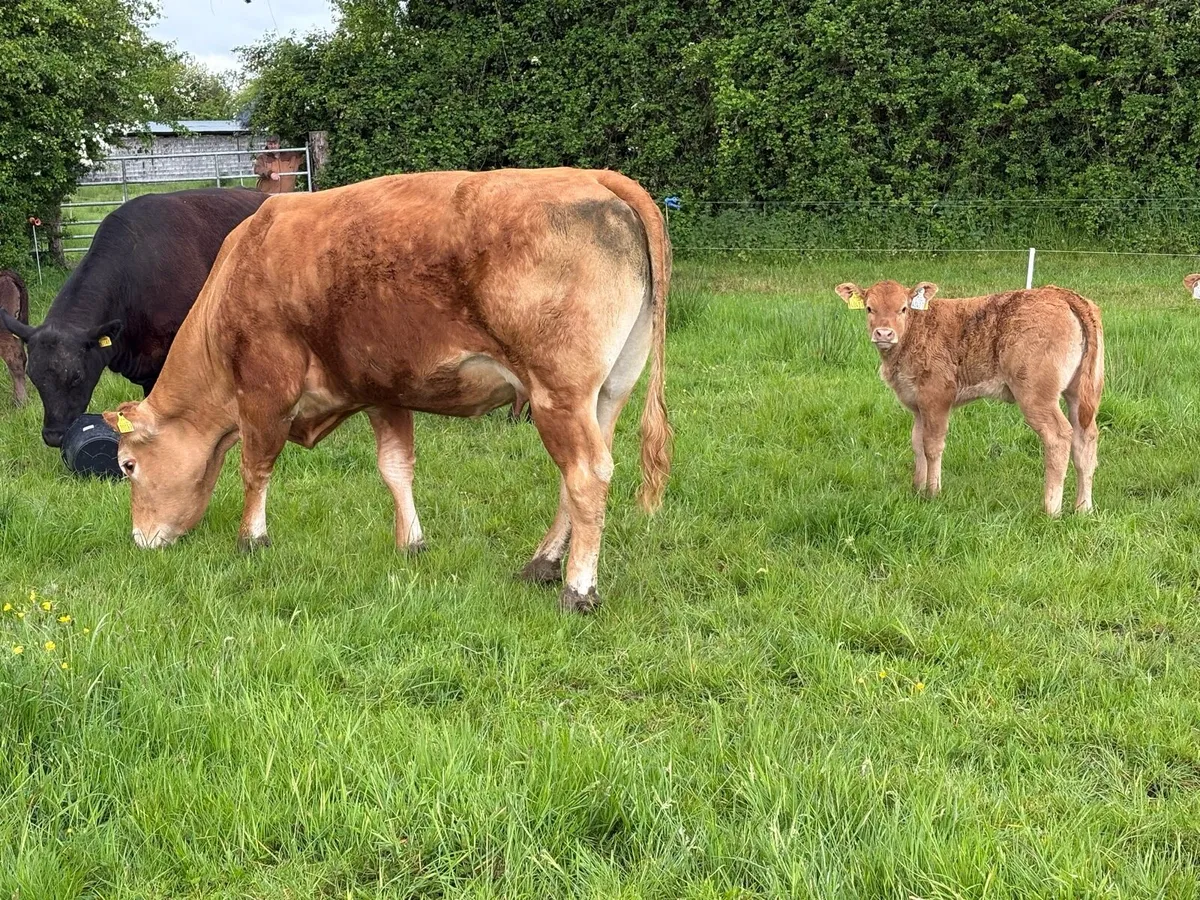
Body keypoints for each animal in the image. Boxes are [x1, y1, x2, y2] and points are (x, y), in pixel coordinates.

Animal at [103, 168, 671, 613]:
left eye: (127, 466)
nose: (139, 539)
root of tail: (592, 176)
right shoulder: (383, 391)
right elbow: (395, 468)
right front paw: (411, 543)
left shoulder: (266, 389)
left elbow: (255, 466)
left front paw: (251, 539)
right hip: (607, 393)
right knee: (579, 476)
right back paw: (542, 563)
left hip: (559, 392)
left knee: (586, 475)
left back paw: (577, 588)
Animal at [834, 280, 1104, 516]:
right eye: (869, 308)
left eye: (903, 308)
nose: (884, 333)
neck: (916, 331)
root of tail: (1059, 293)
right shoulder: (917, 403)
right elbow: (917, 443)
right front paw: (917, 488)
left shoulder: (937, 397)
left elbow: (932, 445)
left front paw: (933, 492)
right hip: (1079, 392)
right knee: (1085, 440)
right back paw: (1083, 508)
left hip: (1036, 394)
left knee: (1058, 437)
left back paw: (1051, 510)